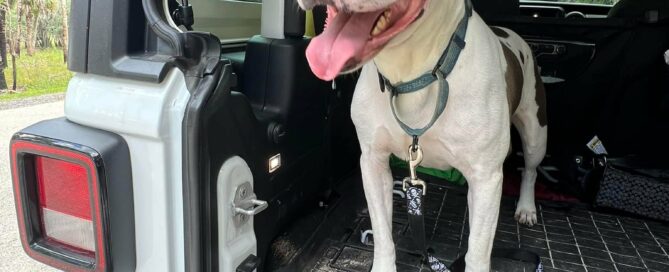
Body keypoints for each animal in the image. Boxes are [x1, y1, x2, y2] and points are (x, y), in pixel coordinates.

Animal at [294, 1, 544, 270]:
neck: (411, 70)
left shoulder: (486, 177)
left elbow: (477, 253)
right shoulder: (373, 162)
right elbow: (382, 233)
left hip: (535, 132)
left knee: (530, 169)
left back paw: (526, 208)